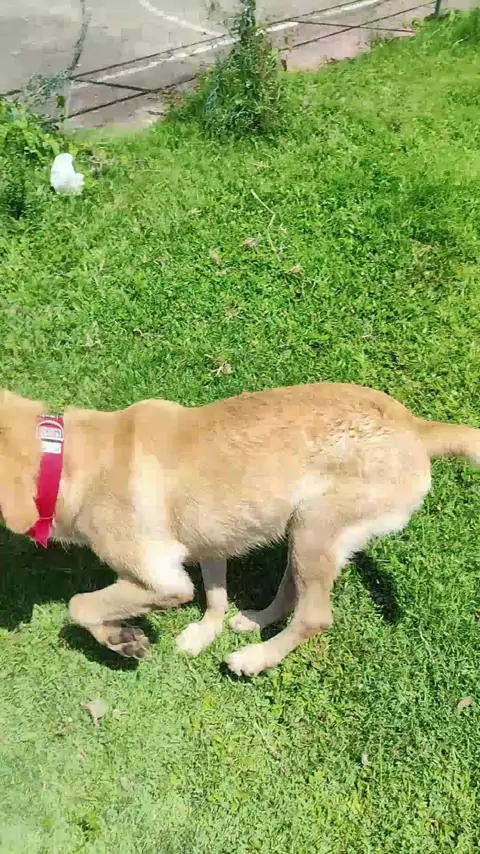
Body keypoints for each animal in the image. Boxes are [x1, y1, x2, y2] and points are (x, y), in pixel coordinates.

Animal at [0, 383, 478, 676]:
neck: (64, 457)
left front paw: (117, 638)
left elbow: (79, 605)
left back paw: (256, 658)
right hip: (301, 530)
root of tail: (416, 428)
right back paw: (256, 619)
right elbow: (214, 598)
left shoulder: (163, 579)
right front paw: (153, 635)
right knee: (291, 593)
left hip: (315, 526)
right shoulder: (210, 541)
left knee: (315, 616)